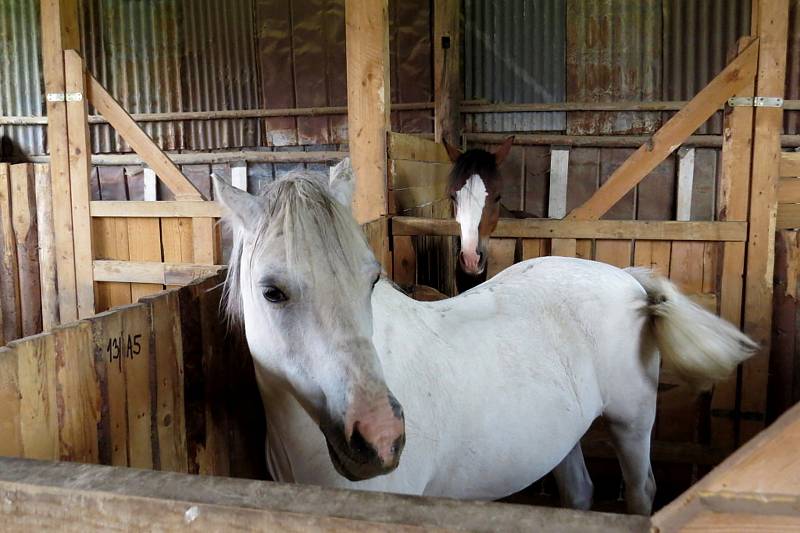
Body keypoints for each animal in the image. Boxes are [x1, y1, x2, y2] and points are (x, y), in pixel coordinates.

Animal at [212, 160, 756, 512]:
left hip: (633, 422)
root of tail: (628, 279)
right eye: (272, 292)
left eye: (371, 279)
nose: (381, 440)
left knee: (642, 490)